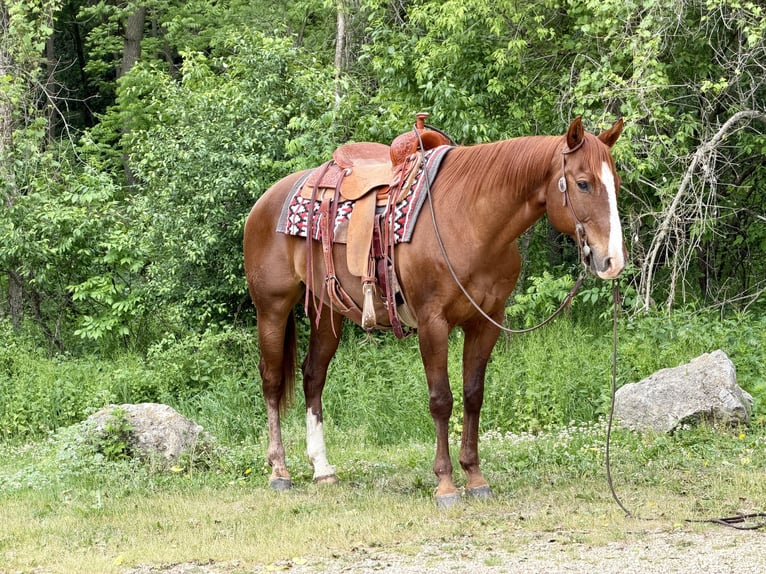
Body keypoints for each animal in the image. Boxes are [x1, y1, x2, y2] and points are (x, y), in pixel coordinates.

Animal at [243, 117, 626, 507]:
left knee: (313, 376)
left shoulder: (485, 322)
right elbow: (441, 399)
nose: (612, 260)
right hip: (272, 308)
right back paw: (279, 470)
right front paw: (445, 484)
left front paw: (475, 476)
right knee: (272, 381)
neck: (470, 220)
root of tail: (266, 200)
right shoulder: (433, 323)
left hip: (329, 312)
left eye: (617, 182)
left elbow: (473, 395)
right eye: (583, 183)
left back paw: (323, 469)